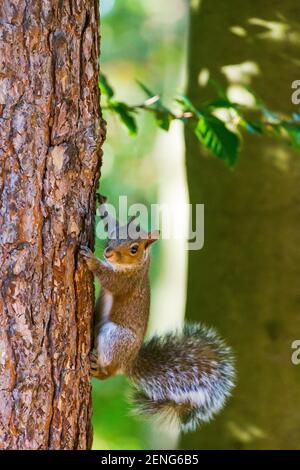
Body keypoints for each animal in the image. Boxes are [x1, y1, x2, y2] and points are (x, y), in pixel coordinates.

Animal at [81, 193, 236, 432]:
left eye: (134, 249)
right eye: (116, 234)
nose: (108, 253)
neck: (140, 263)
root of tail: (129, 362)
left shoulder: (128, 281)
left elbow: (110, 280)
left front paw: (91, 260)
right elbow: (110, 220)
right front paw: (103, 204)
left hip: (115, 336)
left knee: (109, 371)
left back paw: (98, 369)